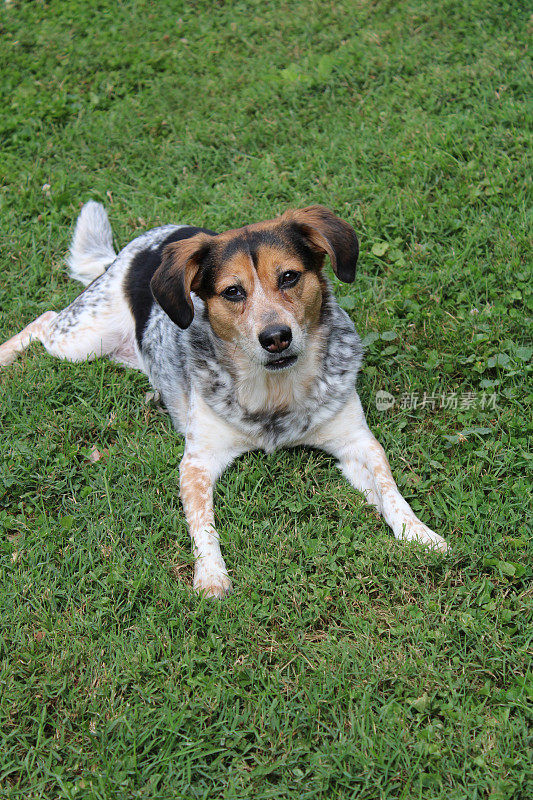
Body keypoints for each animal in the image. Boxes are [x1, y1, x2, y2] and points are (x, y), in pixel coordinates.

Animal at [0, 203, 446, 596]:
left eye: (289, 277)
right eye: (232, 292)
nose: (275, 337)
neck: (275, 388)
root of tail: (136, 248)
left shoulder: (356, 442)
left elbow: (389, 487)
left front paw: (419, 533)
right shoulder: (198, 463)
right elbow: (203, 523)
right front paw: (211, 576)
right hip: (81, 341)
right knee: (44, 320)